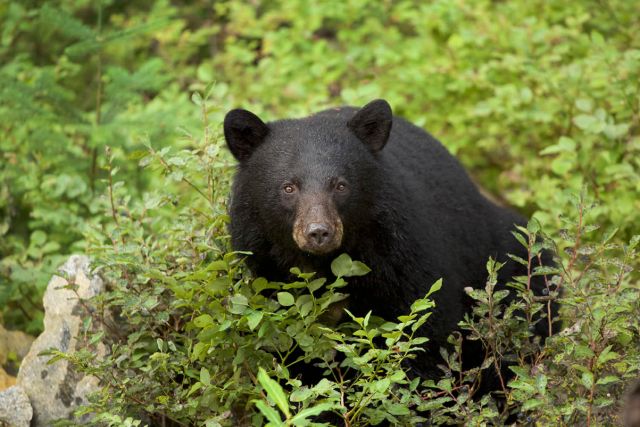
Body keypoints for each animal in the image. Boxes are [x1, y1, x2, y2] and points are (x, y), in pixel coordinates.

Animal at [223, 99, 558, 390]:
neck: (326, 264)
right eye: (288, 188)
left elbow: (424, 335)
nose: (318, 232)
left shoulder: (400, 258)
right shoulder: (266, 267)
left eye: (341, 185)